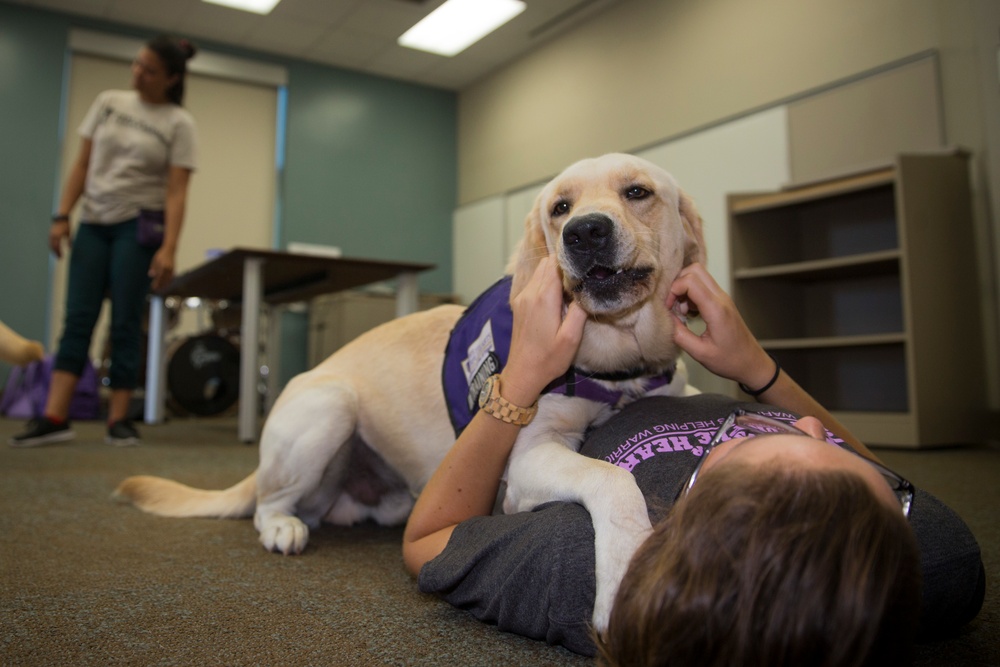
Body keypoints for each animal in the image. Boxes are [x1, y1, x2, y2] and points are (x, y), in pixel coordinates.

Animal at [117, 154, 708, 636]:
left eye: (637, 192)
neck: (619, 367)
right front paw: (626, 571)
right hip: (331, 407)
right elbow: (612, 479)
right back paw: (284, 526)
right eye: (560, 208)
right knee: (267, 505)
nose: (584, 232)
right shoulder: (528, 457)